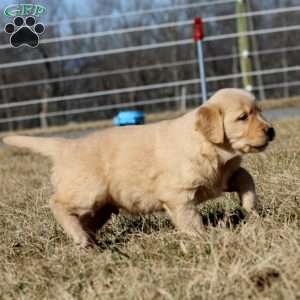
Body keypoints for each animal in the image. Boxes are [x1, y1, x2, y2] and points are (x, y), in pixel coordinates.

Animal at [2, 88, 274, 247]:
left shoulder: (223, 176)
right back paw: (79, 237)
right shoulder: (178, 194)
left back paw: (88, 242)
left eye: (260, 111)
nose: (271, 130)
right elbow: (190, 218)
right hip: (88, 191)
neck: (208, 144)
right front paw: (203, 237)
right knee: (56, 202)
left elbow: (246, 178)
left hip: (102, 206)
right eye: (243, 117)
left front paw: (251, 208)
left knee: (85, 220)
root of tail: (68, 145)